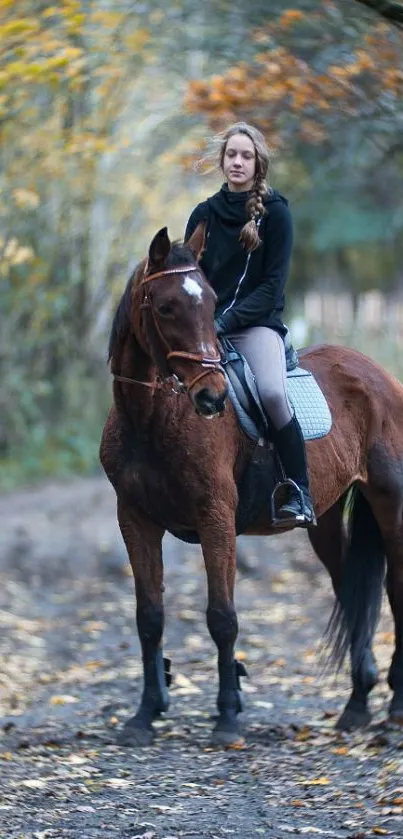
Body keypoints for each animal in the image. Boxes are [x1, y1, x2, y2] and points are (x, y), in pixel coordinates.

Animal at [100, 225, 403, 748]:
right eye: (166, 307)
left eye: (210, 302)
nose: (212, 397)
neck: (153, 418)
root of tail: (376, 373)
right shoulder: (134, 519)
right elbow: (149, 616)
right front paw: (144, 715)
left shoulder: (215, 517)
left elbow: (222, 617)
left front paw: (227, 716)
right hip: (324, 518)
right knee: (350, 590)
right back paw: (357, 705)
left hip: (391, 502)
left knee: (397, 588)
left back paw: (397, 703)